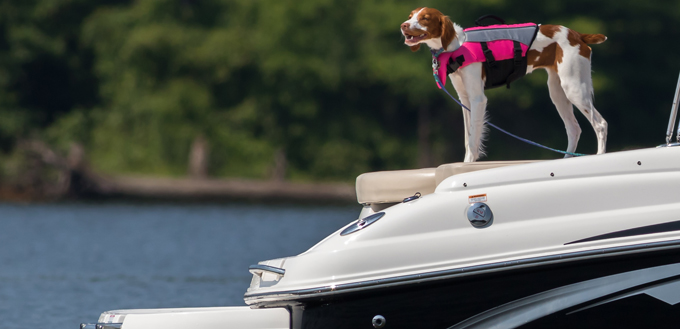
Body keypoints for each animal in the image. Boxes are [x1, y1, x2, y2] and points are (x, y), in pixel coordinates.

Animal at [402, 7, 608, 161]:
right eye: (410, 16)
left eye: (425, 18)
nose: (403, 25)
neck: (456, 46)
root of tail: (577, 34)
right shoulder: (464, 99)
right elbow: (468, 138)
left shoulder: (478, 99)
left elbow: (474, 139)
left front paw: (468, 164)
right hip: (557, 92)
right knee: (574, 128)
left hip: (574, 87)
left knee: (600, 124)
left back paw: (599, 155)